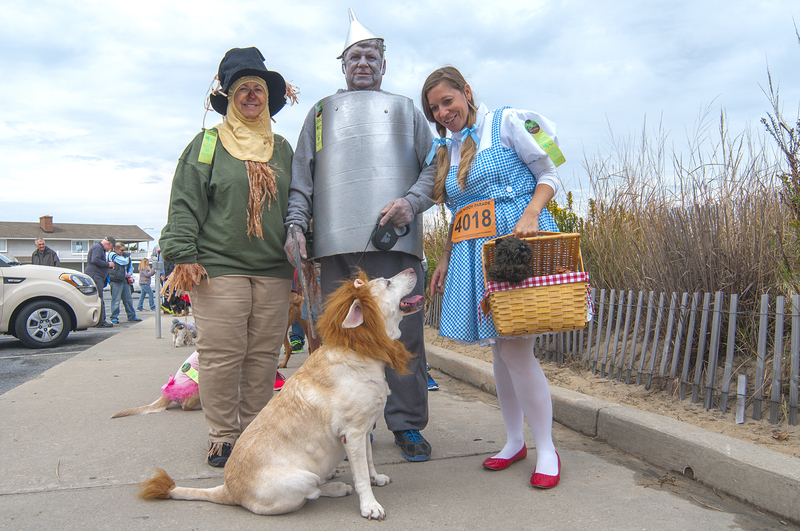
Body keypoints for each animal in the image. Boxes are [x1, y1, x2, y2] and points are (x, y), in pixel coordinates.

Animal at [141, 270, 424, 520]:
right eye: (387, 283)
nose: (413, 268)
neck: (359, 348)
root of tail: (228, 491)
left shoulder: (364, 431)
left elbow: (369, 461)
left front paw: (376, 478)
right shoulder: (353, 433)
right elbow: (361, 475)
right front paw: (370, 506)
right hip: (303, 478)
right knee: (314, 492)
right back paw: (335, 487)